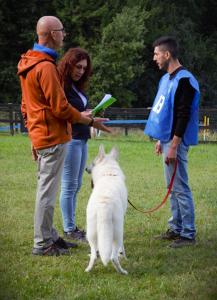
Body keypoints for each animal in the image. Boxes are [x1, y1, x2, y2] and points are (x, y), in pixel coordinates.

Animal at [85, 145, 128, 274]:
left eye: (92, 163)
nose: (86, 168)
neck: (109, 173)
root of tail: (104, 203)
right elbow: (122, 248)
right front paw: (124, 255)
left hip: (91, 233)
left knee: (94, 254)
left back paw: (88, 269)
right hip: (118, 232)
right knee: (113, 257)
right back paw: (122, 271)